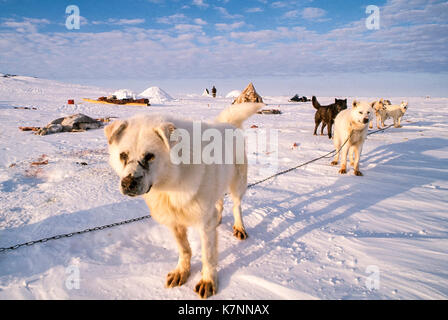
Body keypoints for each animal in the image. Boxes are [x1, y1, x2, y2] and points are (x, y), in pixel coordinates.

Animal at [104, 103, 262, 300]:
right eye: (123, 155)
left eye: (149, 156)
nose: (128, 183)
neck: (171, 183)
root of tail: (228, 124)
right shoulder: (174, 221)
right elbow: (185, 249)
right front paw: (182, 272)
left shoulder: (204, 224)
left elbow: (208, 256)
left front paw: (208, 281)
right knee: (219, 202)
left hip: (238, 183)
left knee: (236, 206)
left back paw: (240, 227)